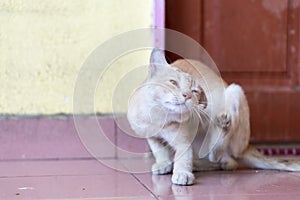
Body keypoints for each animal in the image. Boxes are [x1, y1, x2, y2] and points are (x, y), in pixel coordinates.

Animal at [126, 48, 300, 186]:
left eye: (194, 91)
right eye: (173, 83)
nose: (187, 95)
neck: (159, 119)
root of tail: (246, 147)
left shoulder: (184, 143)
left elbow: (183, 158)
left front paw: (182, 174)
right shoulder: (151, 137)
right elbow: (159, 151)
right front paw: (163, 164)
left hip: (235, 91)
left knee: (222, 158)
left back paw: (220, 129)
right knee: (223, 162)